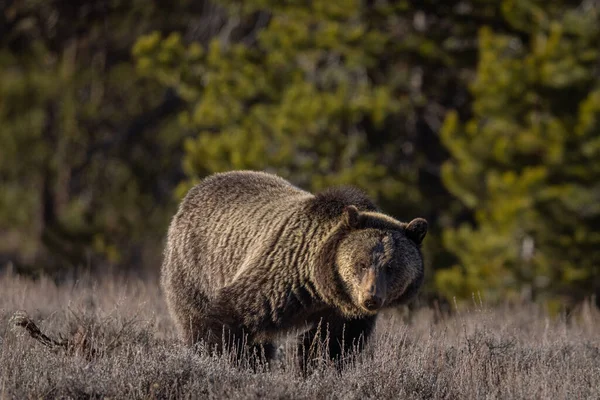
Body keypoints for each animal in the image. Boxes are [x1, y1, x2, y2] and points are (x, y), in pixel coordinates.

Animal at [162, 170, 426, 368]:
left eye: (391, 267)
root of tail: (198, 187)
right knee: (193, 316)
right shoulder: (280, 279)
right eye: (361, 263)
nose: (371, 297)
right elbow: (229, 321)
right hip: (194, 267)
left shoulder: (342, 315)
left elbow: (330, 346)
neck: (322, 289)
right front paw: (228, 361)